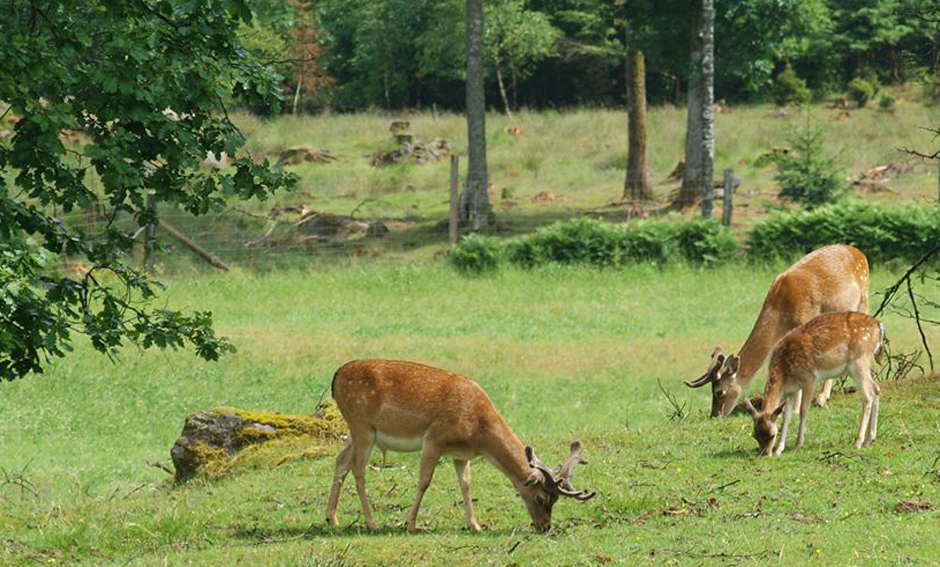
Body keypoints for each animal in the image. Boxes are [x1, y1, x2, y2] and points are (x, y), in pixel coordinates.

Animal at [324, 362, 596, 536]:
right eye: (540, 498)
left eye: (556, 499)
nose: (545, 528)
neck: (478, 433)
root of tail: (334, 377)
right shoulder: (434, 439)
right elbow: (424, 482)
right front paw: (410, 524)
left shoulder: (460, 455)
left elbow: (466, 485)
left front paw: (475, 525)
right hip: (362, 426)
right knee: (358, 470)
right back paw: (371, 523)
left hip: (356, 432)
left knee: (341, 461)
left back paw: (332, 519)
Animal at [684, 244, 872, 418]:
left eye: (719, 391)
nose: (714, 415)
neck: (781, 311)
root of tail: (860, 253)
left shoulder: (806, 319)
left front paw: (794, 410)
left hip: (863, 299)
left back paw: (824, 397)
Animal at [744, 312, 884, 454]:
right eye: (755, 435)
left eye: (772, 435)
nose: (765, 453)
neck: (785, 374)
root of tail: (879, 327)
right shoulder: (792, 389)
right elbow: (786, 415)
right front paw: (779, 449)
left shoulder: (809, 379)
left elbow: (803, 409)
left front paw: (798, 445)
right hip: (857, 367)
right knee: (876, 388)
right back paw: (870, 439)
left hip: (859, 361)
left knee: (868, 395)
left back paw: (858, 442)